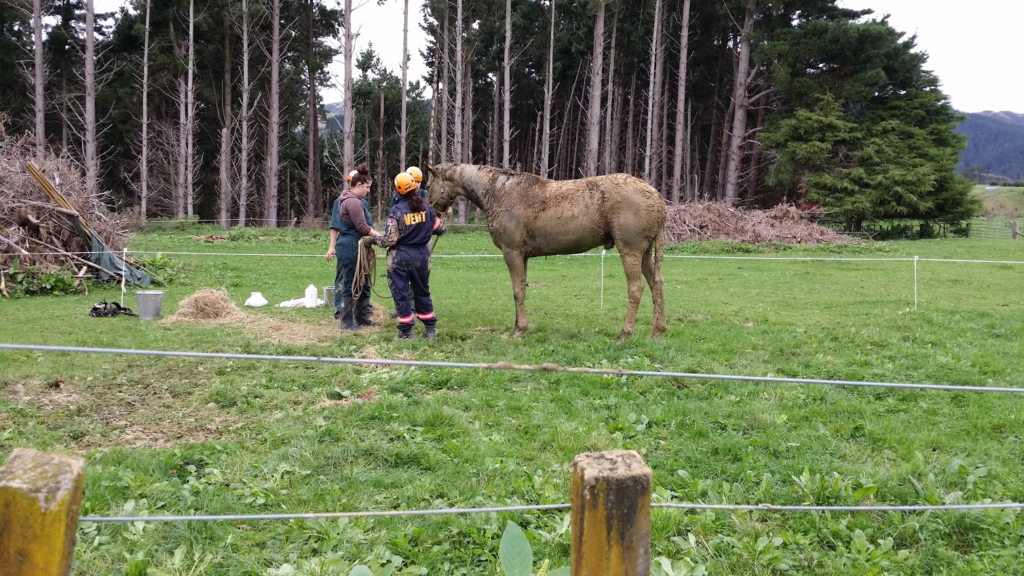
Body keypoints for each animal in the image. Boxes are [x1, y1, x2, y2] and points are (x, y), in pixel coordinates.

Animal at [425, 162, 671, 336]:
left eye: (427, 186)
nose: (433, 213)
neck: (499, 192)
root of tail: (658, 197)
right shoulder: (522, 256)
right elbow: (521, 289)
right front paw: (518, 326)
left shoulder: (511, 253)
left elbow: (517, 290)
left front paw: (519, 330)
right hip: (644, 253)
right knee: (656, 283)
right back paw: (658, 330)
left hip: (630, 251)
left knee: (636, 288)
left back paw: (625, 332)